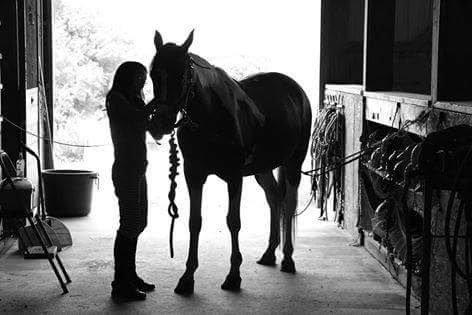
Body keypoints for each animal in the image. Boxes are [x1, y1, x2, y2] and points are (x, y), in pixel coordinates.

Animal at [149, 30, 312, 296]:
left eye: (182, 74)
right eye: (153, 73)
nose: (159, 123)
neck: (212, 116)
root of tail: (296, 91)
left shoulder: (234, 177)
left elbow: (233, 222)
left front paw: (233, 276)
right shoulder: (194, 174)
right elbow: (195, 222)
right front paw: (187, 278)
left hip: (293, 164)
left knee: (288, 204)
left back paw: (287, 258)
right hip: (263, 169)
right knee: (274, 199)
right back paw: (270, 253)